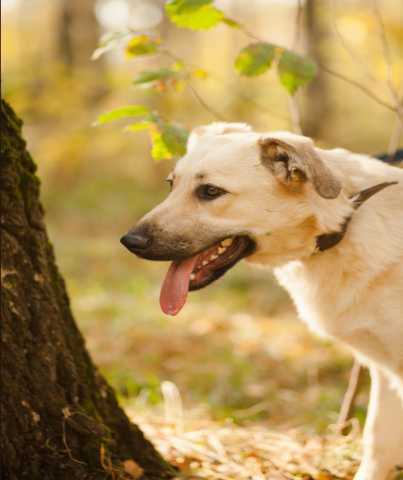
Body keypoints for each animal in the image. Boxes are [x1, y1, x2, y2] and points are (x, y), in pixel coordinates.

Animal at [122, 124, 403, 480]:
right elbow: (379, 442)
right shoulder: (385, 371)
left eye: (210, 192)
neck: (346, 220)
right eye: (171, 185)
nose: (129, 241)